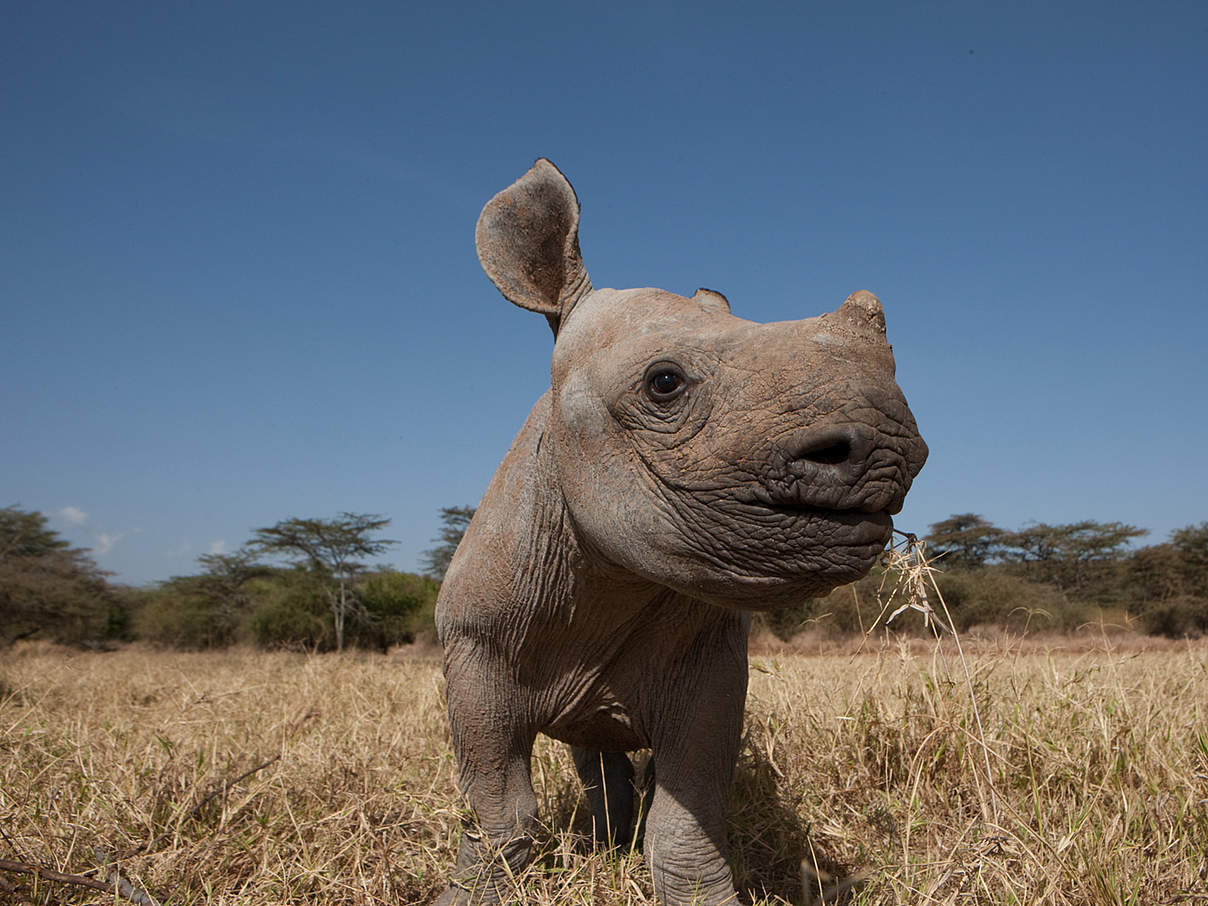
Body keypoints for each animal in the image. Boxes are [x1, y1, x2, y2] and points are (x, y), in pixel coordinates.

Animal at [434, 159, 922, 903]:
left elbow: (687, 815)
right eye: (663, 383)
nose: (885, 449)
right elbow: (500, 808)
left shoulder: (711, 663)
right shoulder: (472, 645)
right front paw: (471, 890)